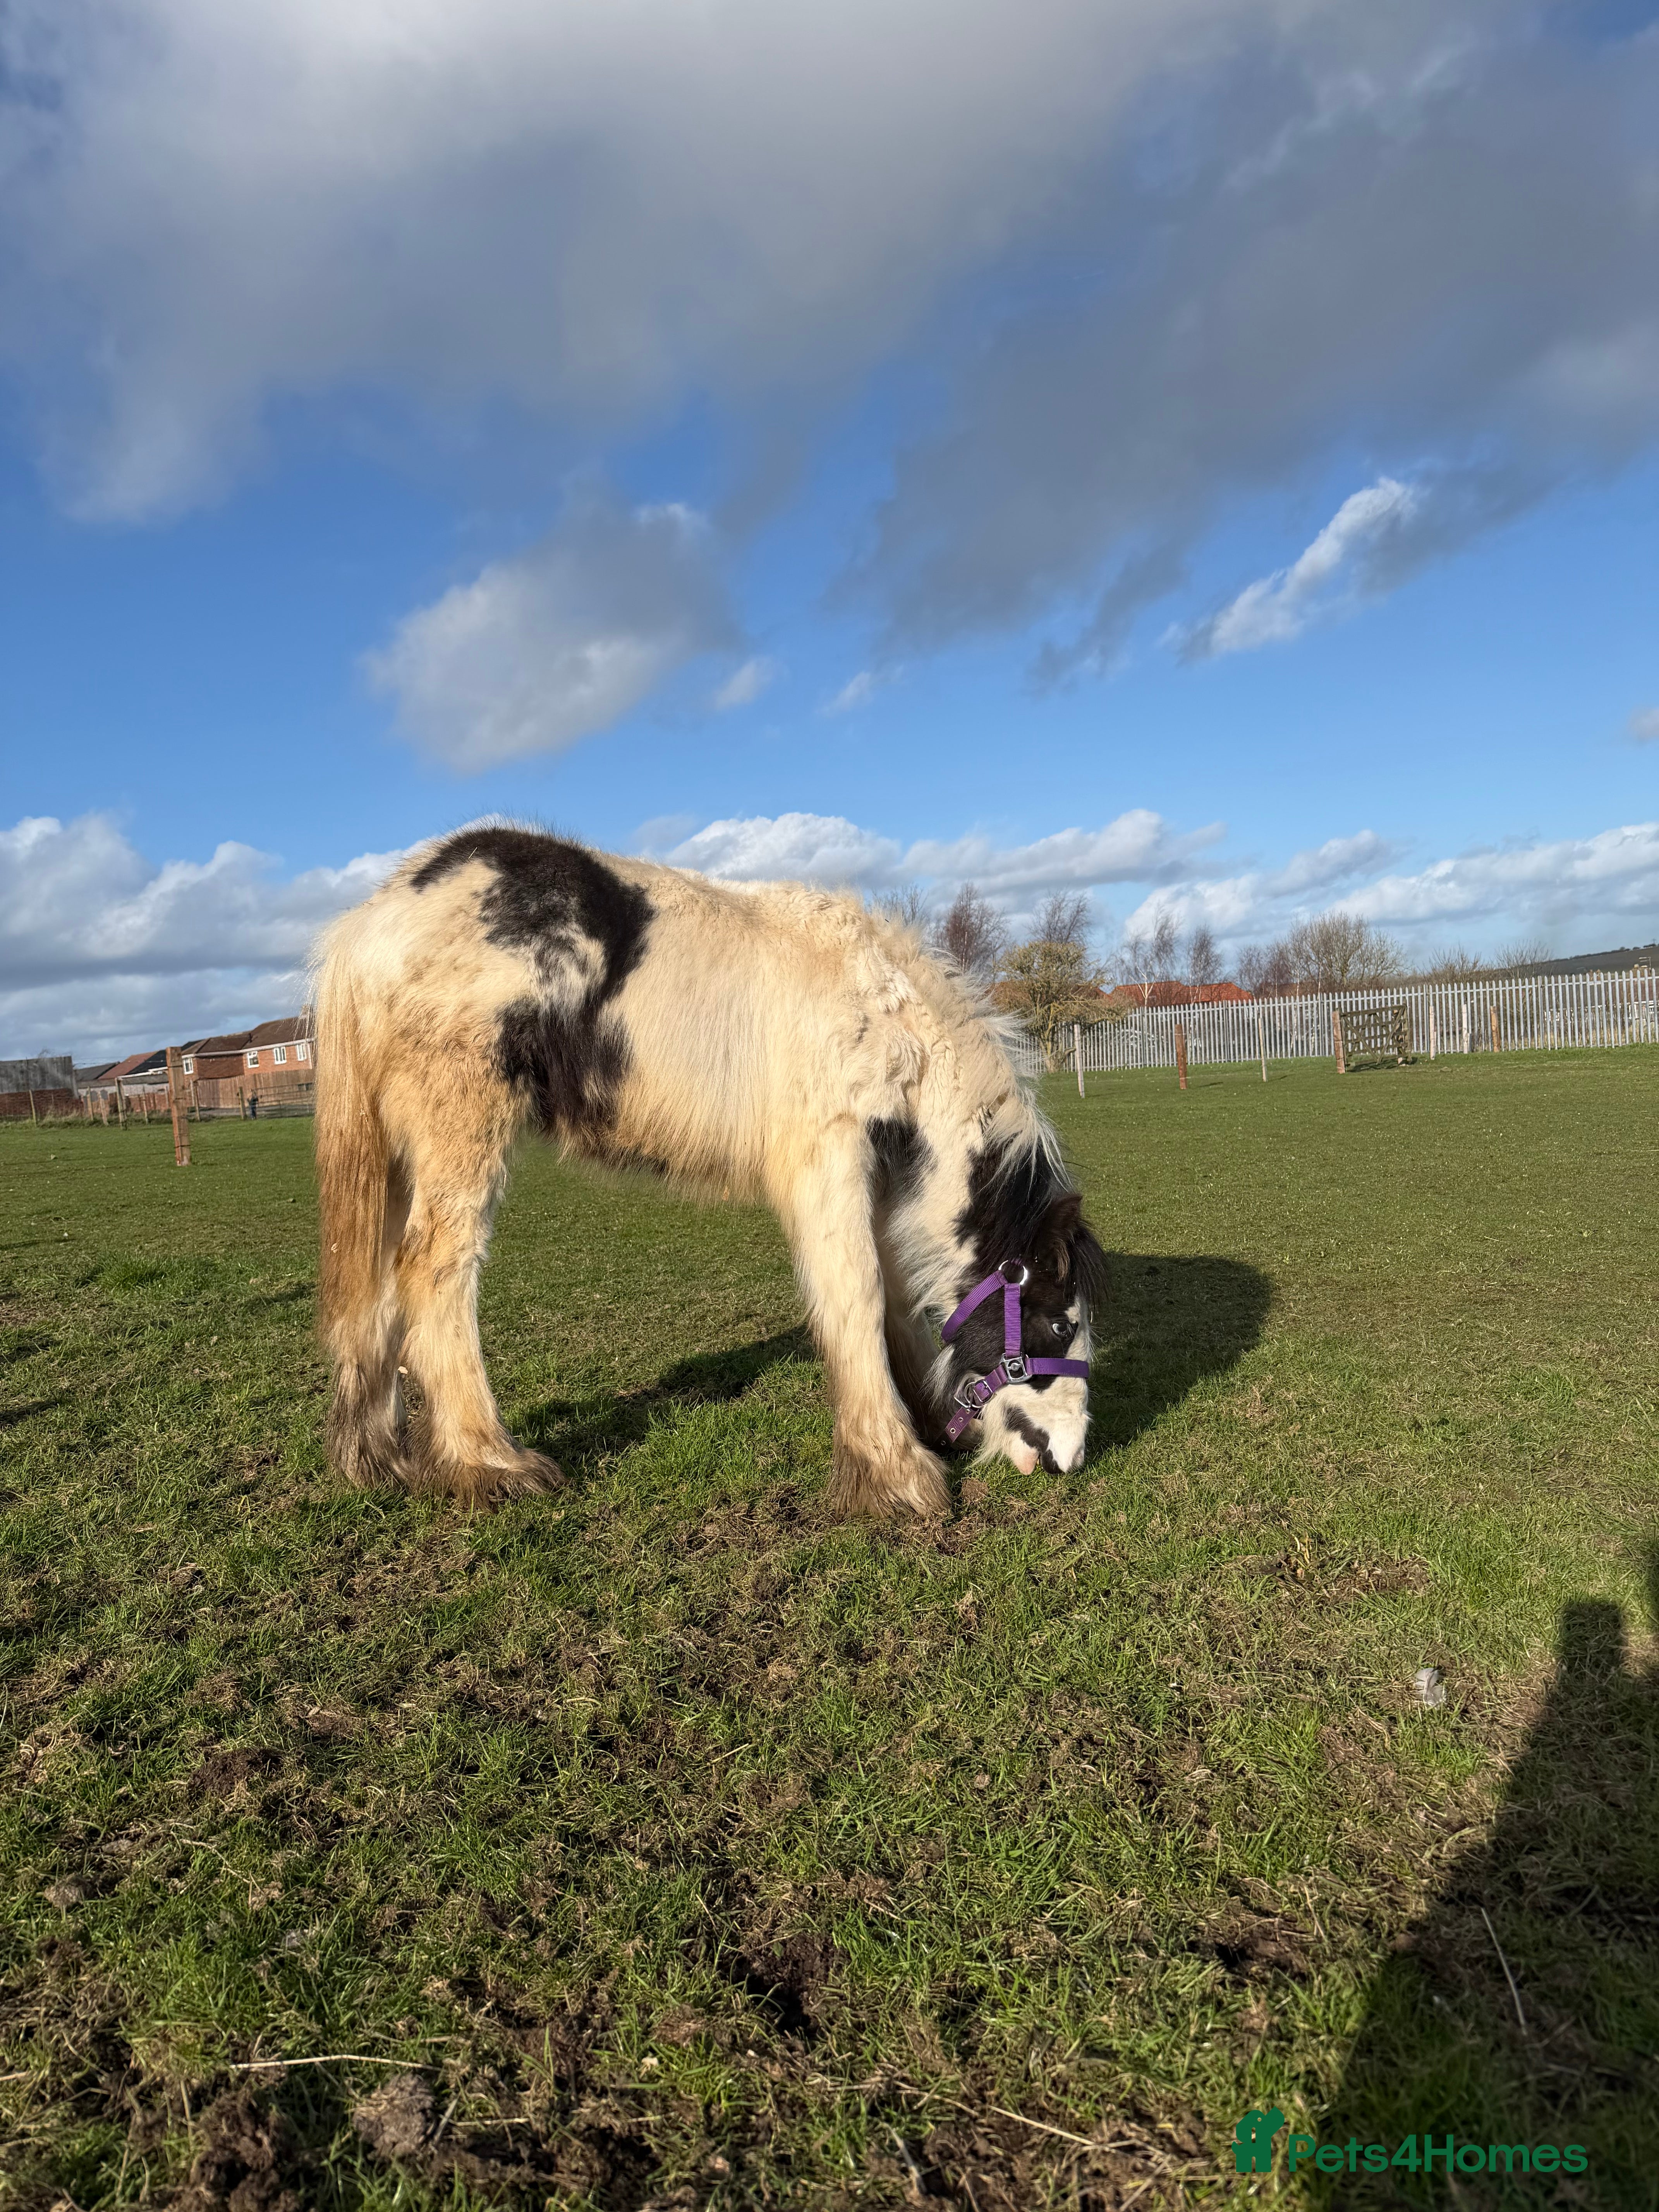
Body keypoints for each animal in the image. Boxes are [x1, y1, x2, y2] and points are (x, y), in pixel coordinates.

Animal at [313, 824, 1106, 1515]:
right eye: (1058, 1322)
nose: (1070, 1458)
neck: (885, 1006)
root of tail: (369, 923)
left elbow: (893, 1297)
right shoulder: (829, 1154)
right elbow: (855, 1290)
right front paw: (893, 1473)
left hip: (393, 1156)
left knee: (375, 1282)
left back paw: (378, 1458)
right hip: (461, 1128)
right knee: (435, 1270)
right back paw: (488, 1461)